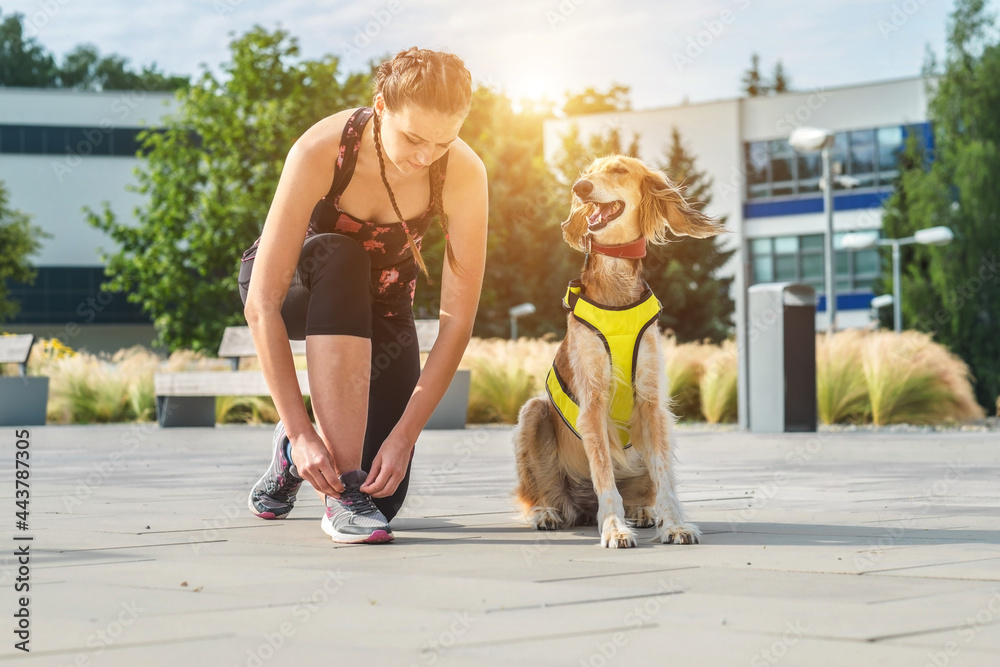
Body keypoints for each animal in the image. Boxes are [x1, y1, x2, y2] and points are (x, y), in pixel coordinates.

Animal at [512, 155, 724, 548]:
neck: (616, 283)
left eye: (619, 170)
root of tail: (579, 508)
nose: (580, 187)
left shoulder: (652, 401)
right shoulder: (594, 399)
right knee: (540, 491)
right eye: (588, 173)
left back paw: (642, 510)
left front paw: (674, 524)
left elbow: (663, 474)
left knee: (646, 485)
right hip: (533, 414)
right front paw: (613, 526)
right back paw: (547, 512)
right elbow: (603, 470)